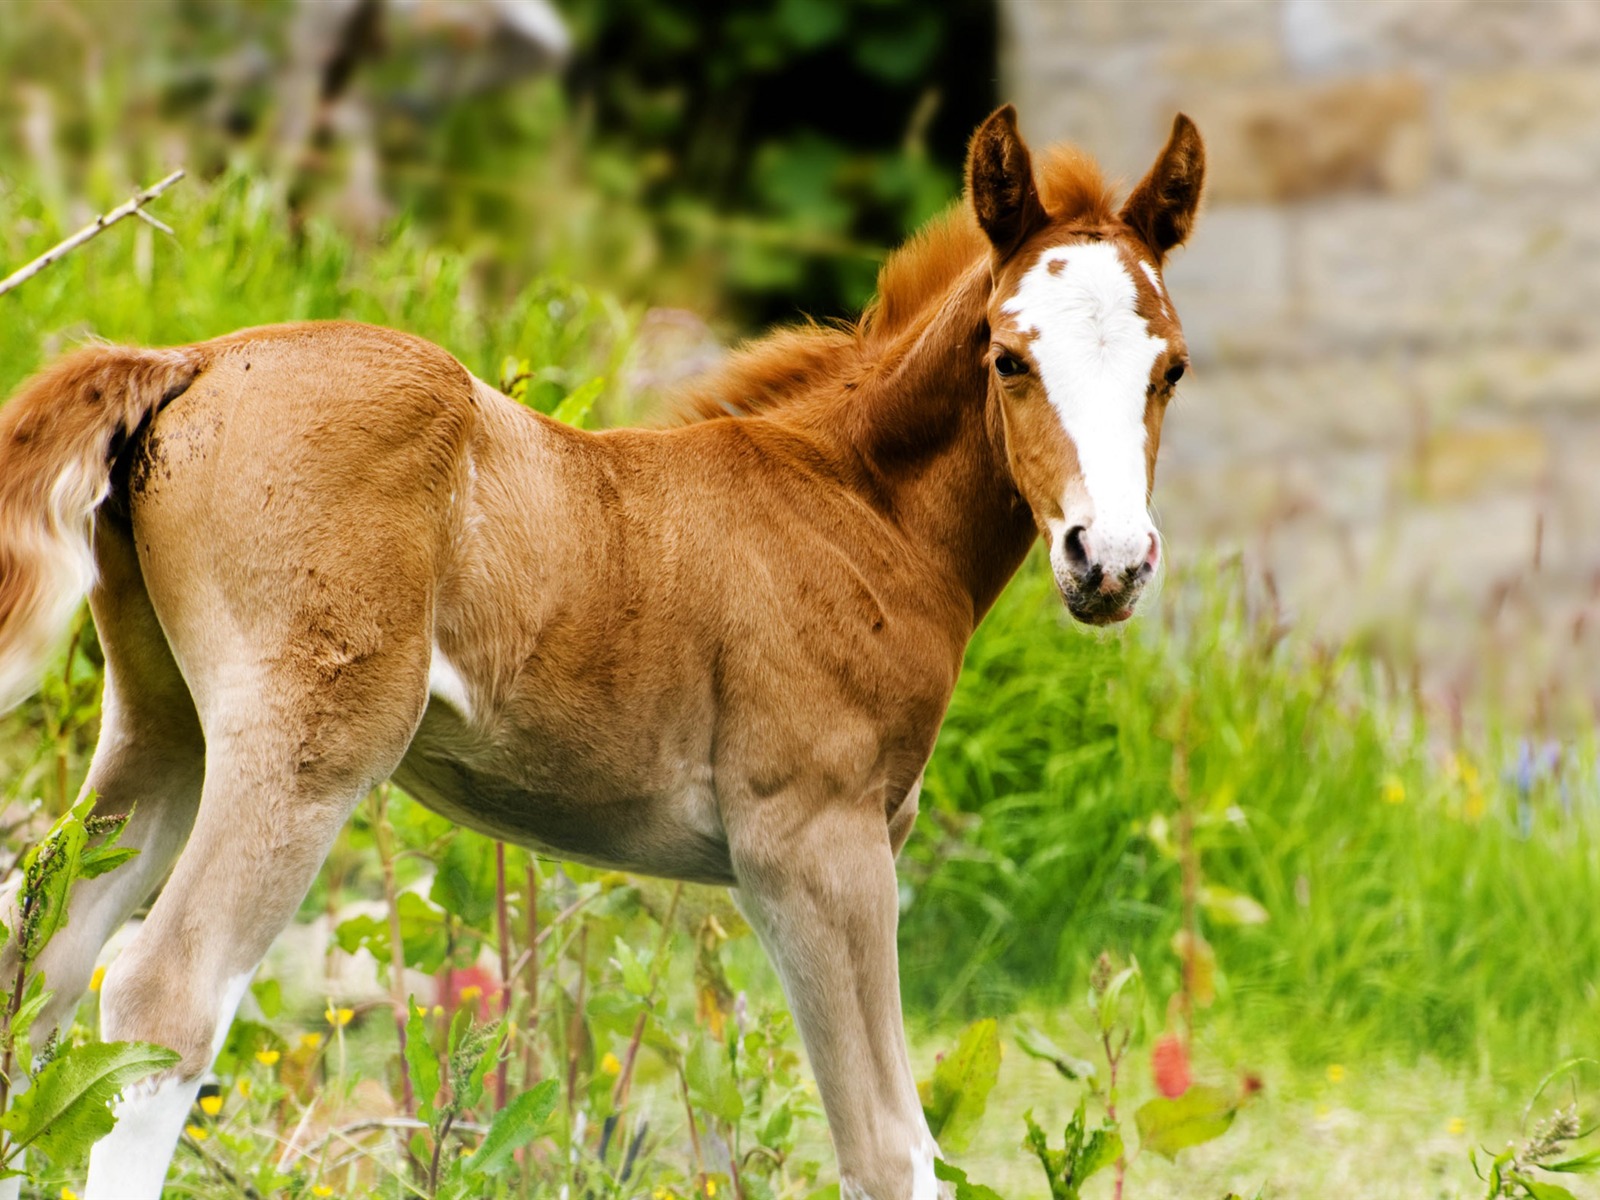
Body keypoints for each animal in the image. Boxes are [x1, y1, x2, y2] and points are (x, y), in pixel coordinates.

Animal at [0, 105, 1203, 1200]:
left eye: (1172, 370)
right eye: (1009, 358)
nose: (1109, 561)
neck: (857, 508)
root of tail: (193, 361)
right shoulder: (815, 845)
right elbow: (888, 1149)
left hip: (164, 727)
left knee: (43, 958)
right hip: (306, 748)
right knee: (160, 995)